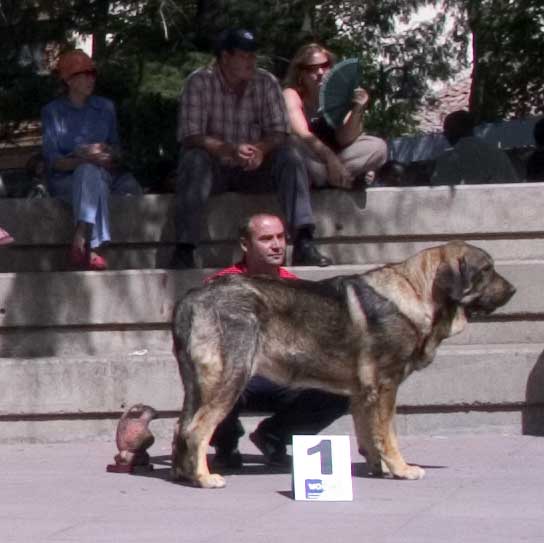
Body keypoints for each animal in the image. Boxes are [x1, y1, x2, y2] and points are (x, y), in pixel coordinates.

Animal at [170, 242, 516, 488]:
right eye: (486, 270)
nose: (513, 290)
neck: (418, 293)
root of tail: (191, 297)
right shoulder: (385, 386)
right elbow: (388, 434)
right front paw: (402, 469)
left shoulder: (363, 393)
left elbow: (369, 434)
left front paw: (378, 469)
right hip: (231, 378)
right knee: (196, 429)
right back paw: (203, 478)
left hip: (196, 386)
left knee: (181, 428)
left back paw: (183, 474)